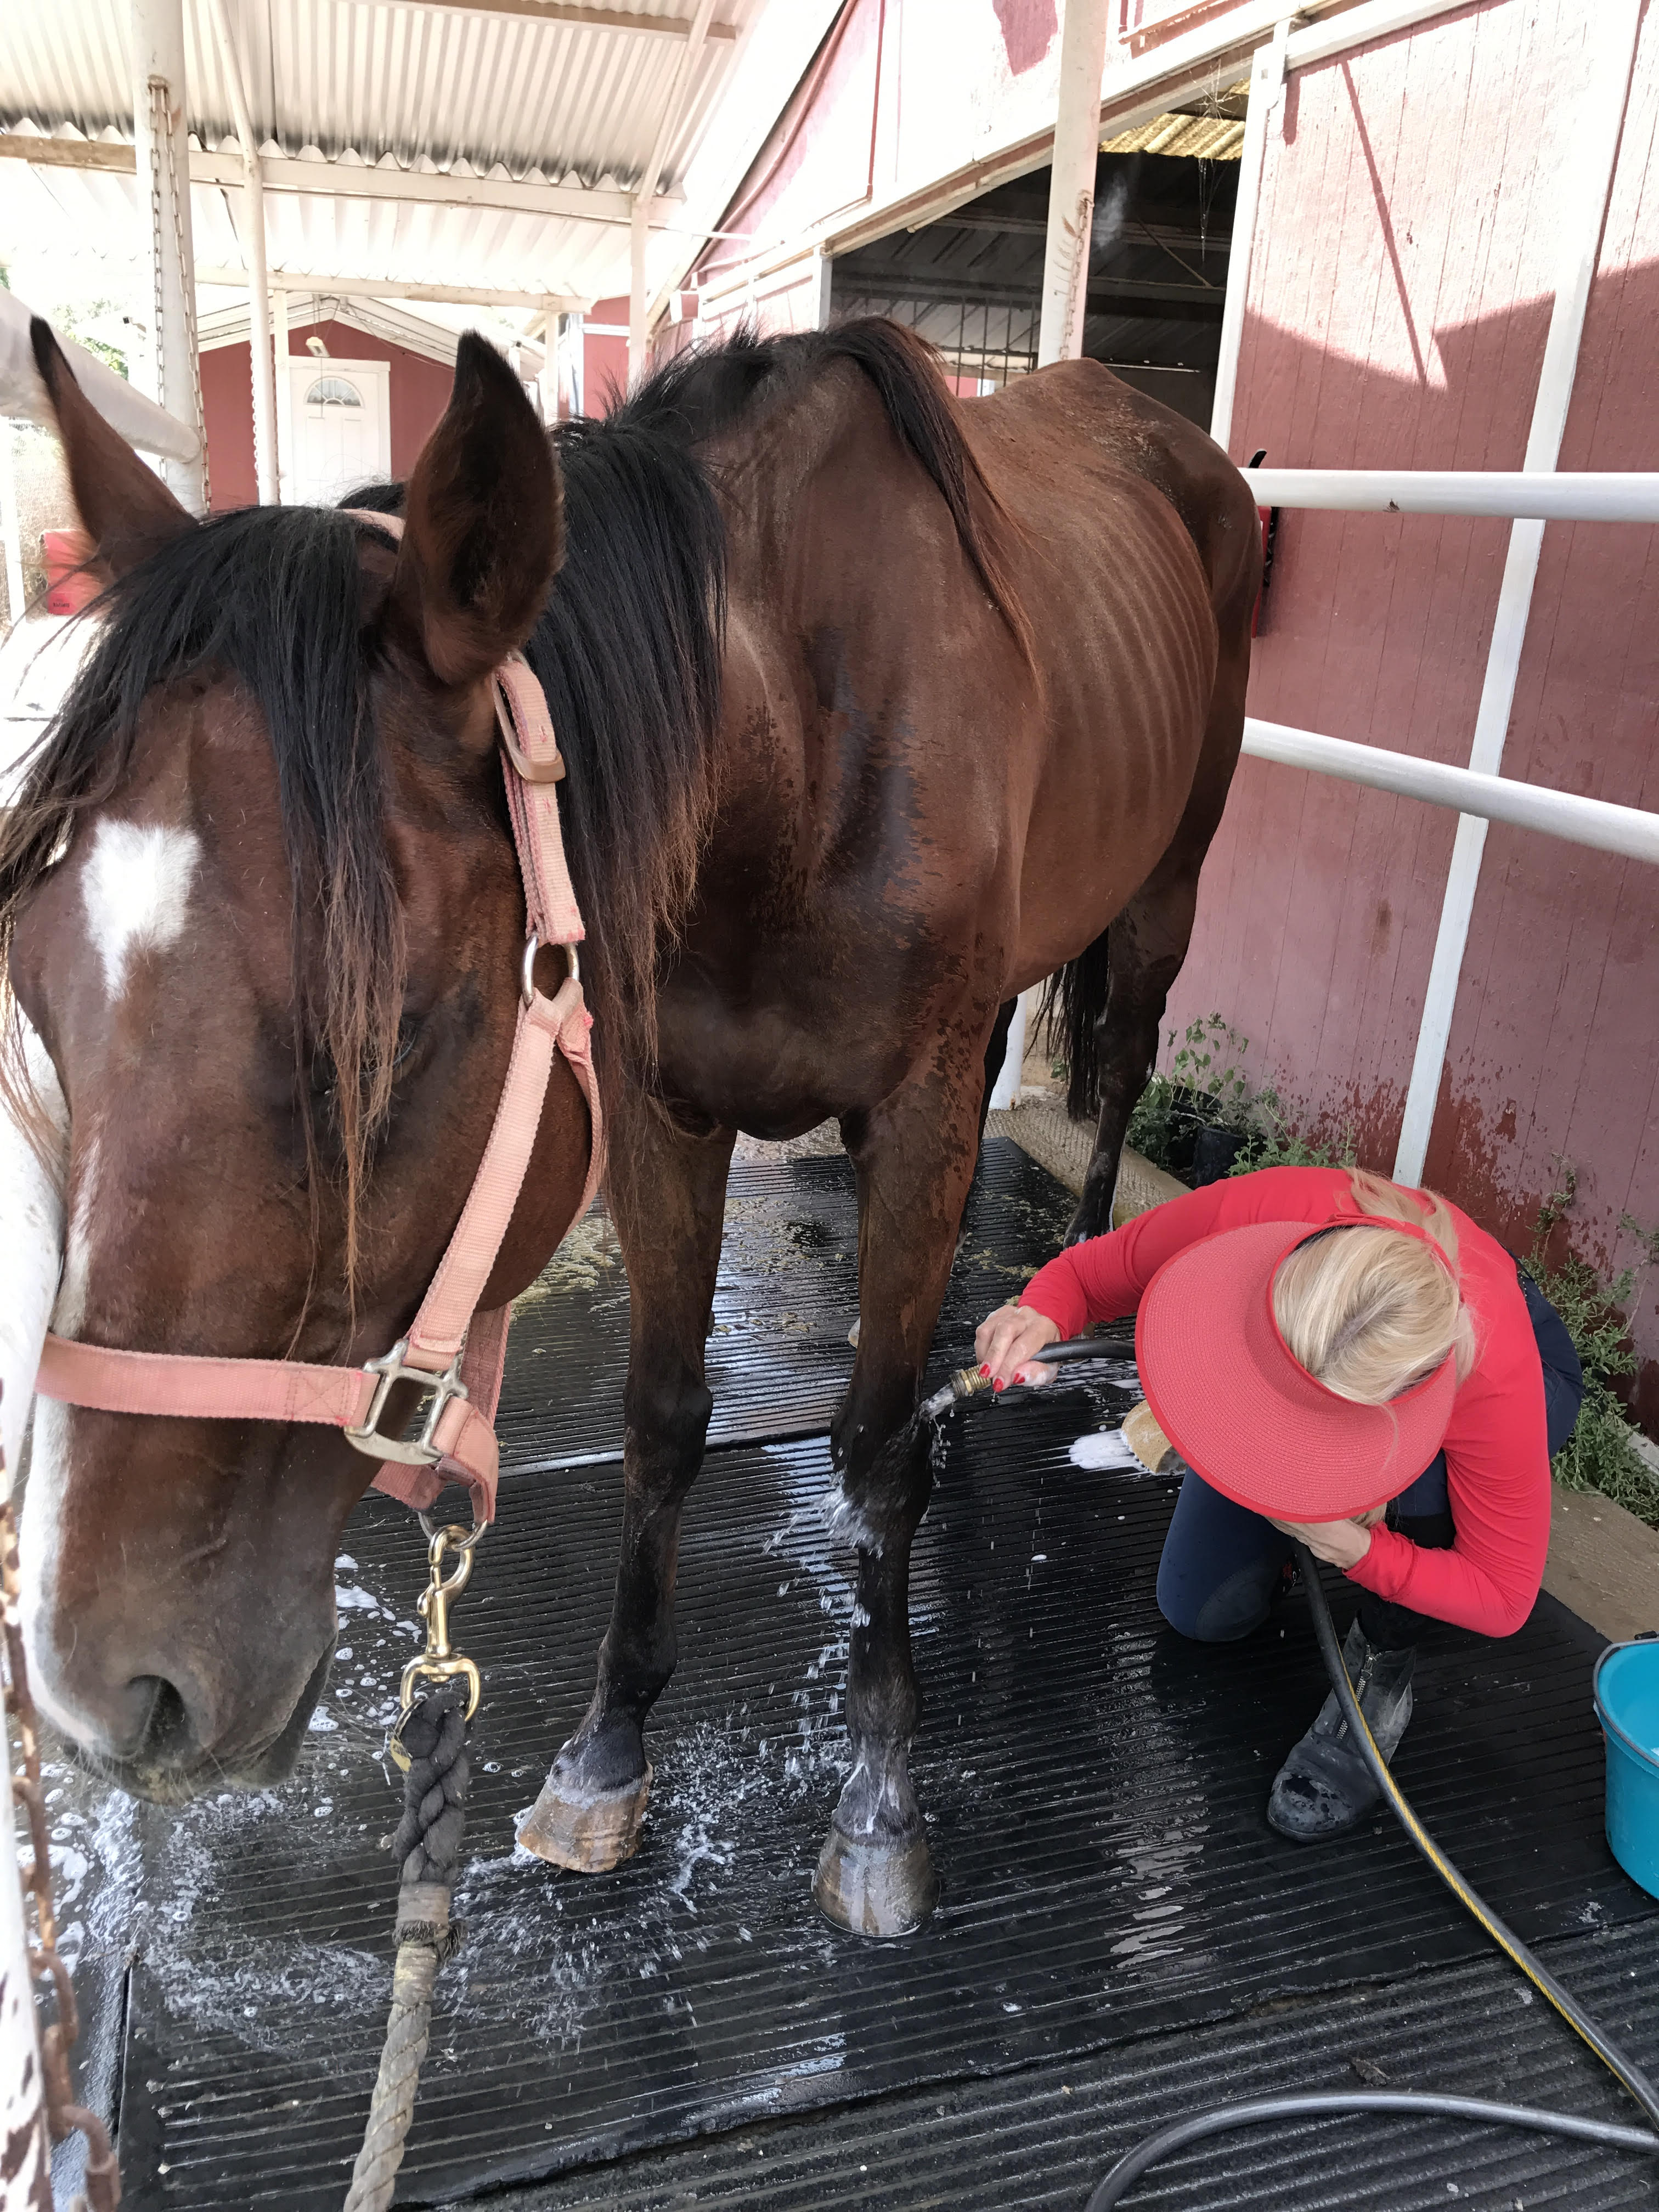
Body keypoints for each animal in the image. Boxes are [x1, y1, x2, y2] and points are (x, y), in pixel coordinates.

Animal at [3, 316, 1256, 1938]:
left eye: (398, 1028)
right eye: (38, 983)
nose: (111, 1692)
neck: (803, 743)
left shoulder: (910, 1120)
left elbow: (869, 1454)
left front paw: (879, 1799)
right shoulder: (657, 1112)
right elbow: (661, 1423)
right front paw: (608, 1751)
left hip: (1165, 897)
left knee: (1123, 1068)